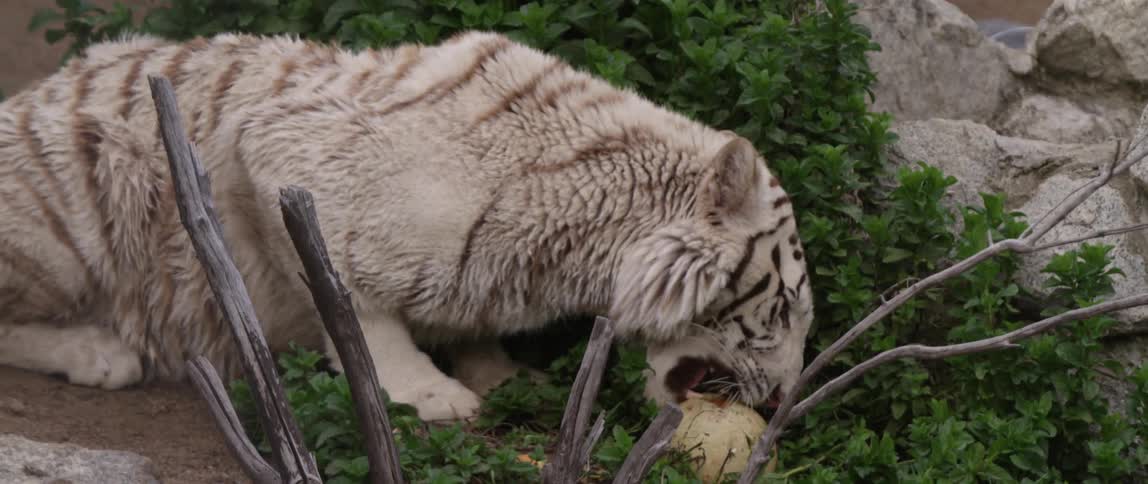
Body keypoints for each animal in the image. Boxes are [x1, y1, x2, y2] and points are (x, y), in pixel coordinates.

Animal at [0, 30, 814, 422]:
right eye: (778, 313)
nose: (782, 400)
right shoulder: (278, 160)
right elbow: (356, 309)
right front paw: (427, 394)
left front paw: (497, 370)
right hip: (69, 211)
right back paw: (100, 353)